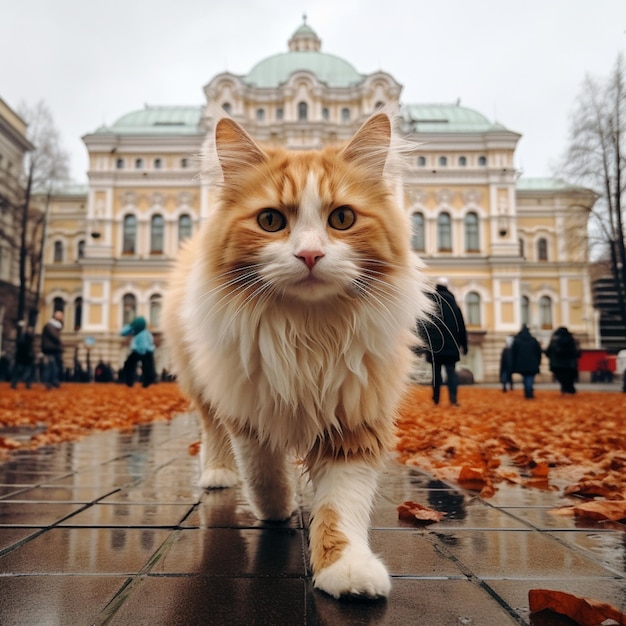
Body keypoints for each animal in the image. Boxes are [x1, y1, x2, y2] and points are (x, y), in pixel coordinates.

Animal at [161, 106, 432, 596]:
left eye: (342, 219)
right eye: (270, 221)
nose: (309, 255)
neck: (306, 330)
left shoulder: (355, 416)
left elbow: (342, 506)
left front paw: (346, 568)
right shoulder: (248, 402)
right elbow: (263, 469)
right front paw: (276, 508)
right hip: (202, 381)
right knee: (213, 433)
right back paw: (217, 474)